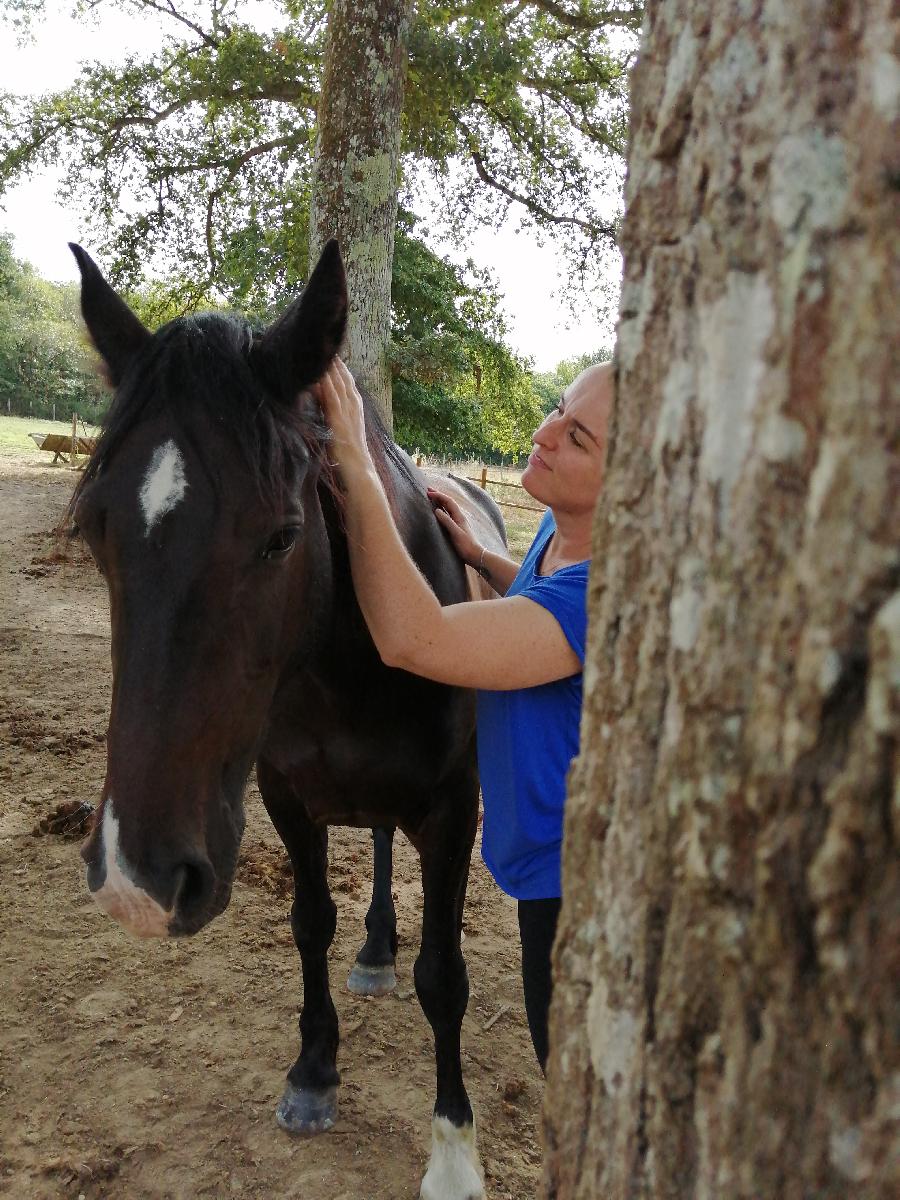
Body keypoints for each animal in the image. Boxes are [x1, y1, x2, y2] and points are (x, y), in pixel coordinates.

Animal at [68, 236, 508, 1200]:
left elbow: (445, 976)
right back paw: (375, 950)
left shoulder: (454, 813)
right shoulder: (286, 800)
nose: (136, 880)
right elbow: (311, 923)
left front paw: (454, 1150)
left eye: (280, 536)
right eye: (93, 532)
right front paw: (313, 1072)